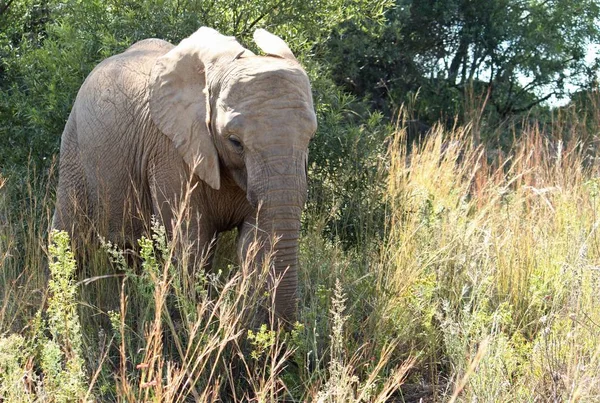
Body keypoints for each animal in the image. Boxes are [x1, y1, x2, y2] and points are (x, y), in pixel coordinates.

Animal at [52, 26, 318, 322]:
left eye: (310, 137)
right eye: (235, 142)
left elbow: (256, 239)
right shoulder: (170, 150)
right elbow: (192, 243)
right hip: (74, 146)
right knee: (68, 238)